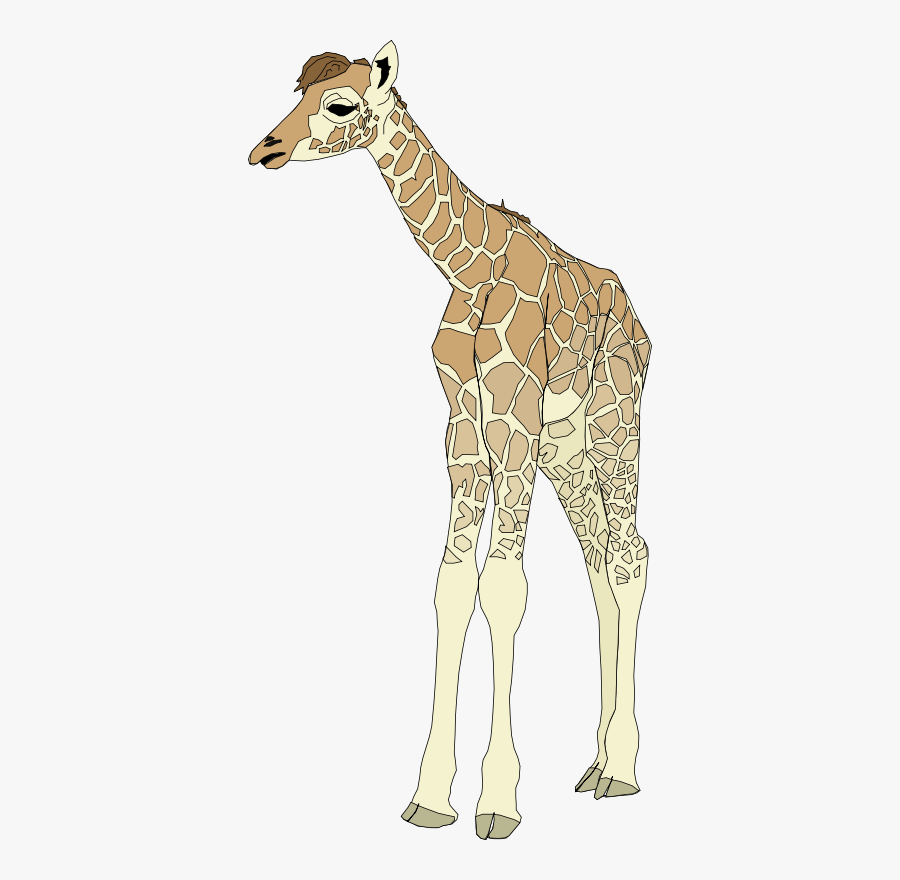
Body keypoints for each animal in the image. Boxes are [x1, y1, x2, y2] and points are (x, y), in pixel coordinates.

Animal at [248, 41, 652, 840]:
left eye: (340, 104)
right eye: (296, 89)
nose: (264, 149)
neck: (467, 268)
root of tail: (642, 322)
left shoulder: (513, 426)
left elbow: (504, 586)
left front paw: (497, 803)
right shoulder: (463, 433)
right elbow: (451, 585)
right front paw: (430, 797)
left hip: (614, 428)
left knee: (631, 557)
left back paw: (621, 771)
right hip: (567, 454)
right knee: (598, 563)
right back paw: (593, 765)